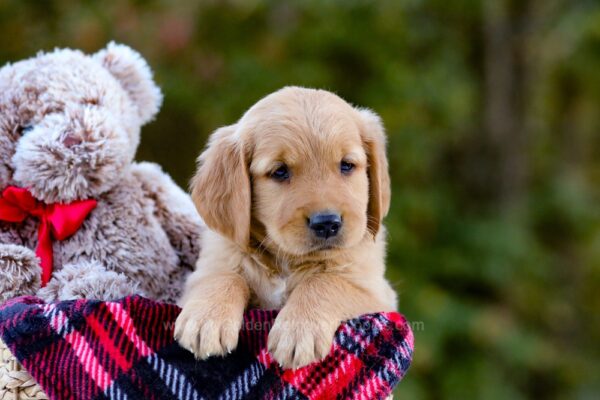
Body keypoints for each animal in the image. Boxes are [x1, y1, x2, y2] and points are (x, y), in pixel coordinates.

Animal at [175, 86, 398, 368]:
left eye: (347, 165)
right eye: (280, 171)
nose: (327, 223)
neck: (287, 262)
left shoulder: (377, 293)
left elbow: (325, 281)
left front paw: (299, 330)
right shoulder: (209, 267)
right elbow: (224, 276)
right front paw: (206, 318)